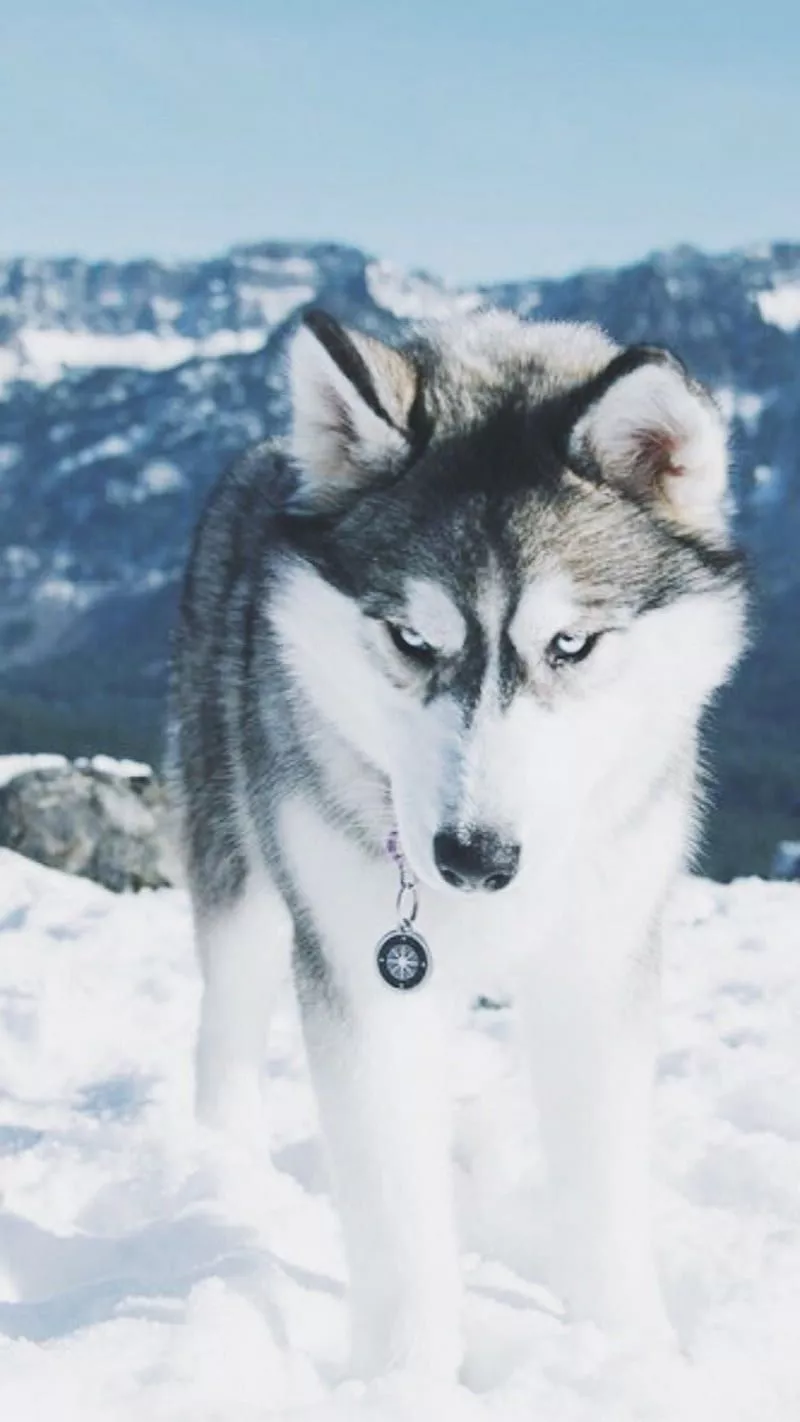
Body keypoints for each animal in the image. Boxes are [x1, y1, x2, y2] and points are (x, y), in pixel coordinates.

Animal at [172, 305, 746, 1380]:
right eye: (412, 639)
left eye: (572, 644)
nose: (473, 860)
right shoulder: (363, 975)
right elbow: (399, 1225)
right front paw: (406, 1381)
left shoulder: (600, 964)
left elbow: (603, 1193)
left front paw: (632, 1360)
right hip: (238, 864)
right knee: (225, 1028)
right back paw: (223, 1178)